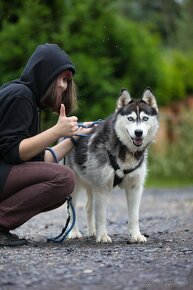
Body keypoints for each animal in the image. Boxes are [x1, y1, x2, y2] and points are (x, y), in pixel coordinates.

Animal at [65, 88, 159, 242]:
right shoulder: (102, 187)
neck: (125, 150)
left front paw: (136, 235)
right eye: (130, 118)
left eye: (145, 118)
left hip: (91, 185)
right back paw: (74, 232)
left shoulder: (135, 187)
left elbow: (134, 217)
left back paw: (92, 231)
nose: (138, 133)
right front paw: (102, 235)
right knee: (72, 210)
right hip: (75, 186)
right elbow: (101, 216)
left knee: (88, 207)